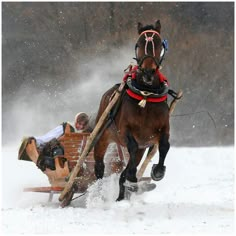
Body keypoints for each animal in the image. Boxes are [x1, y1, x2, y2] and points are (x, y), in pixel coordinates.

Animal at [93, 20, 170, 201]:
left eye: (159, 43)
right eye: (139, 43)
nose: (148, 71)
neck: (146, 95)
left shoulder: (161, 128)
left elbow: (164, 145)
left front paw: (157, 171)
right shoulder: (125, 130)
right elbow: (132, 148)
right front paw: (132, 177)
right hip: (102, 136)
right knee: (99, 167)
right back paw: (100, 193)